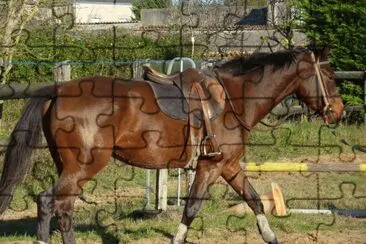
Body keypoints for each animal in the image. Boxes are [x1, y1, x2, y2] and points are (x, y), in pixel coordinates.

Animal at [0, 46, 344, 244]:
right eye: (328, 74)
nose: (337, 111)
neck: (234, 98)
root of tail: (58, 89)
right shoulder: (211, 166)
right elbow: (191, 209)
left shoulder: (230, 166)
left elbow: (256, 201)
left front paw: (271, 236)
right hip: (84, 166)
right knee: (53, 204)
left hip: (70, 166)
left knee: (57, 207)